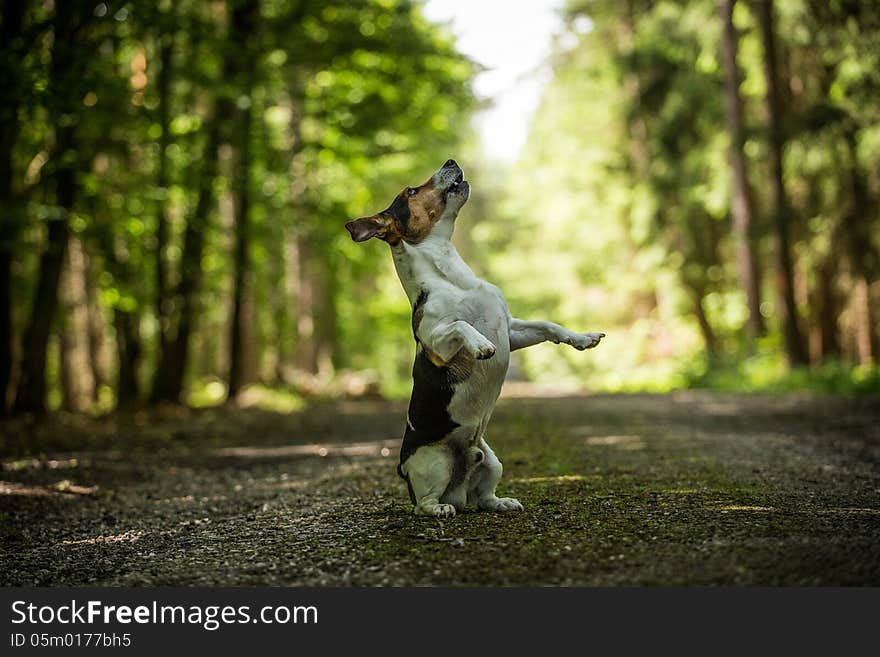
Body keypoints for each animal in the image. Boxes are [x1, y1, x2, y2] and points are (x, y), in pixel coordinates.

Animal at [344, 160, 604, 516]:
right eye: (411, 191)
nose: (450, 161)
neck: (451, 277)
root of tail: (457, 491)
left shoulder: (511, 330)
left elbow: (548, 326)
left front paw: (582, 338)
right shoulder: (437, 343)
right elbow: (460, 325)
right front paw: (481, 345)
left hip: (492, 462)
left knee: (483, 496)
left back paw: (501, 502)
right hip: (434, 463)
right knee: (424, 503)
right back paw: (439, 509)